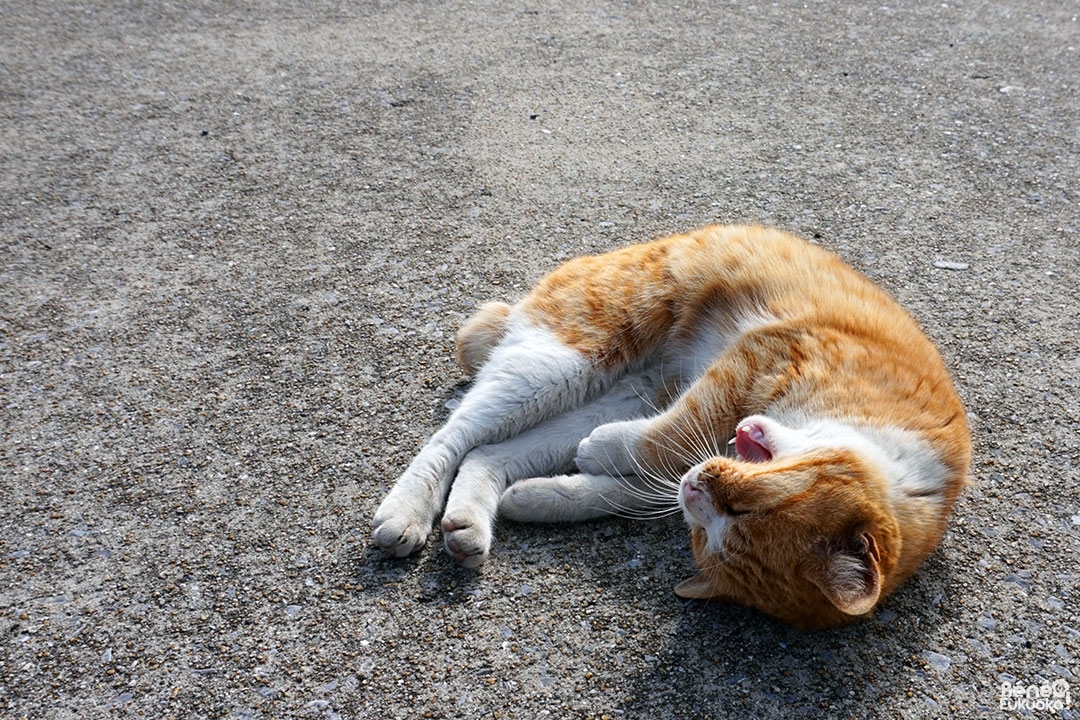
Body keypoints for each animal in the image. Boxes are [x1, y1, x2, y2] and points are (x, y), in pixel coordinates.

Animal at [371, 226, 972, 630]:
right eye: (746, 505)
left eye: (709, 534)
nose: (697, 486)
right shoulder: (762, 354)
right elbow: (682, 428)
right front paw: (605, 453)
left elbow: (626, 488)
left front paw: (545, 496)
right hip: (563, 361)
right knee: (454, 435)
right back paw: (406, 511)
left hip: (616, 393)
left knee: (491, 454)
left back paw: (471, 521)